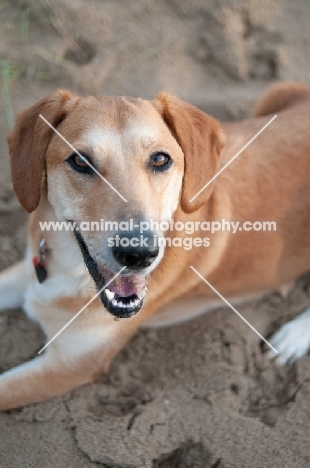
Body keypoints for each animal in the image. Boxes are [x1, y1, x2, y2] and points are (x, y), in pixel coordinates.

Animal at [0, 81, 310, 410]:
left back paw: (294, 336)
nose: (137, 253)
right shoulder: (28, 275)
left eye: (160, 159)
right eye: (80, 161)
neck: (70, 272)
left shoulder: (71, 365)